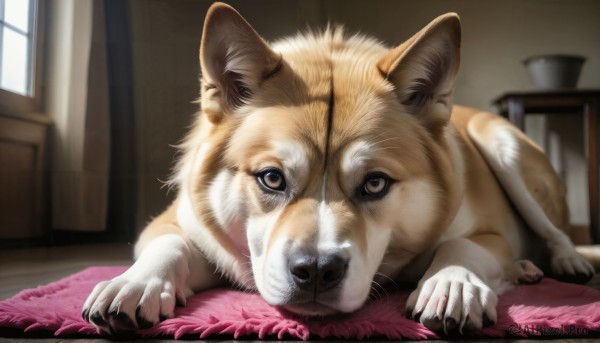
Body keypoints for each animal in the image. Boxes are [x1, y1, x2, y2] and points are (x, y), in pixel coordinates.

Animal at [81, 2, 596, 336]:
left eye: (375, 183)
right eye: (272, 178)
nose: (315, 271)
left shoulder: (489, 233)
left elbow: (464, 246)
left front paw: (452, 284)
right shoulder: (173, 222)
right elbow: (167, 245)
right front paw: (133, 283)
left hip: (504, 148)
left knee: (555, 232)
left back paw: (561, 262)